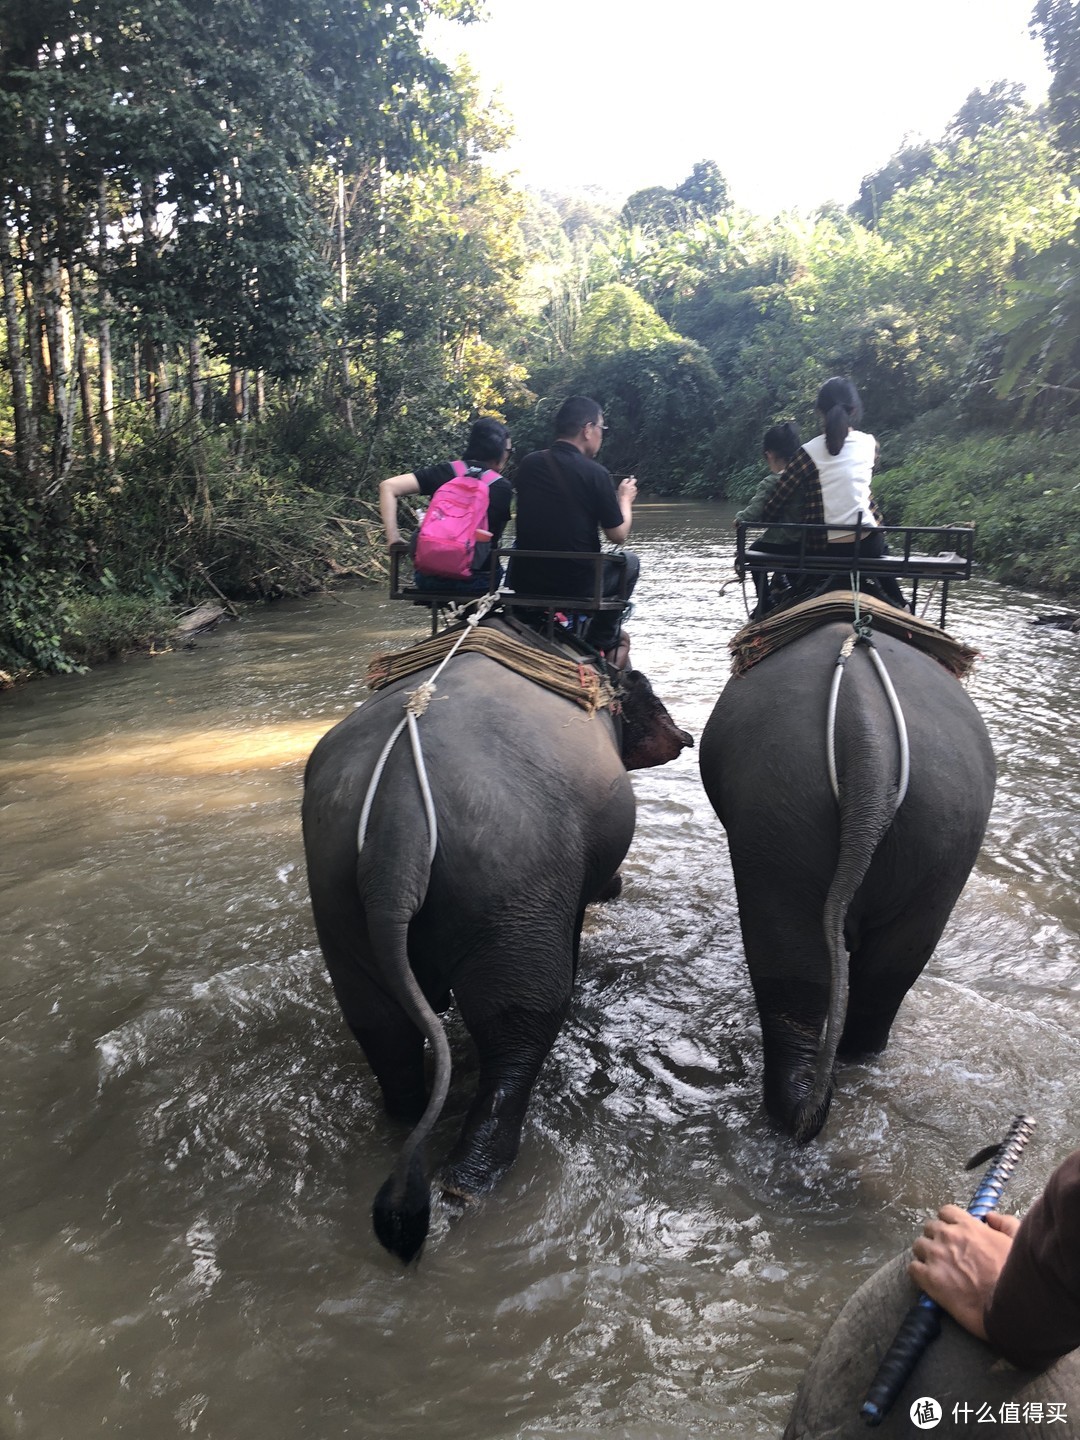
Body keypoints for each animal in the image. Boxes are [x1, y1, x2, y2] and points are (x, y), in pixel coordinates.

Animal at [305, 619, 694, 1261]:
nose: (686, 736)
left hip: (337, 898)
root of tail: (398, 818)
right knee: (520, 1021)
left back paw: (407, 1127)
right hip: (516, 887)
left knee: (377, 1022)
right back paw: (467, 1185)